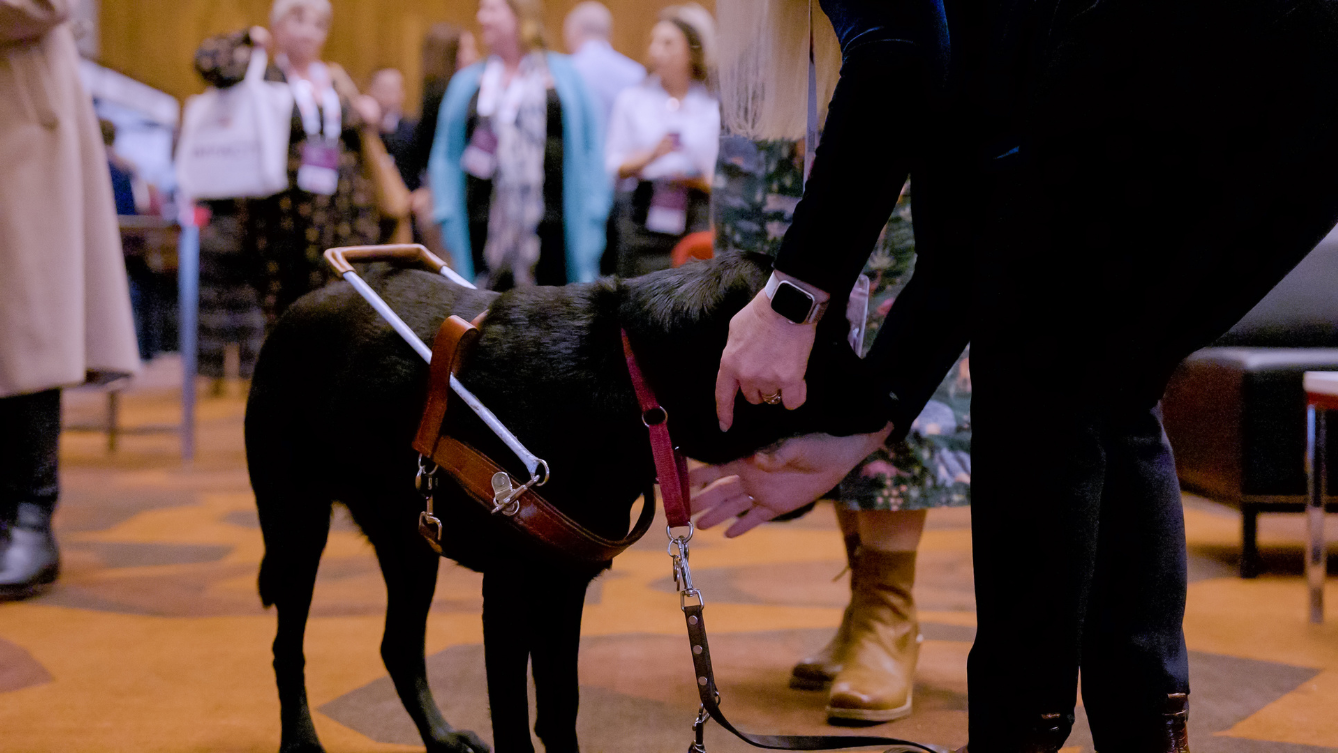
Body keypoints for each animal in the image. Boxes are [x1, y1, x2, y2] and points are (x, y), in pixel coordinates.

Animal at [243, 252, 888, 753]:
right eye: (827, 342)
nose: (895, 395)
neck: (628, 377)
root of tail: (295, 308)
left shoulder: (562, 584)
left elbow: (558, 711)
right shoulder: (509, 590)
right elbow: (514, 724)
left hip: (410, 543)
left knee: (397, 646)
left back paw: (441, 737)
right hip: (297, 529)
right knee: (285, 648)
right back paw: (301, 741)